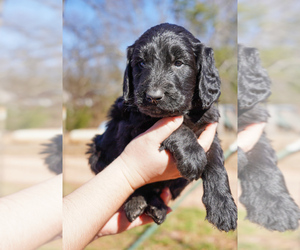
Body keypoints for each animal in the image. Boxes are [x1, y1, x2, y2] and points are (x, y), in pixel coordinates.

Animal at [86, 23, 237, 232]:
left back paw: (157, 207)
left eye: (178, 63)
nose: (153, 97)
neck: (186, 112)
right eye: (141, 63)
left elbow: (216, 164)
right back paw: (136, 203)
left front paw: (223, 207)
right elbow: (174, 126)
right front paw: (193, 156)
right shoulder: (134, 122)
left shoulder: (209, 130)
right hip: (96, 150)